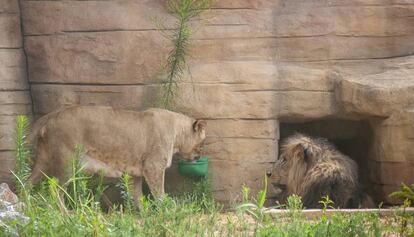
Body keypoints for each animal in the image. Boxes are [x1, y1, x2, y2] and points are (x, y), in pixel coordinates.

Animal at [28, 105, 206, 204]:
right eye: (202, 142)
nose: (198, 157)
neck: (177, 134)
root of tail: (50, 117)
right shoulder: (153, 167)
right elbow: (159, 194)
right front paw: (166, 211)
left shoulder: (135, 174)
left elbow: (137, 197)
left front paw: (143, 215)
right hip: (67, 164)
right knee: (54, 190)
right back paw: (66, 215)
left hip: (43, 162)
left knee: (27, 183)